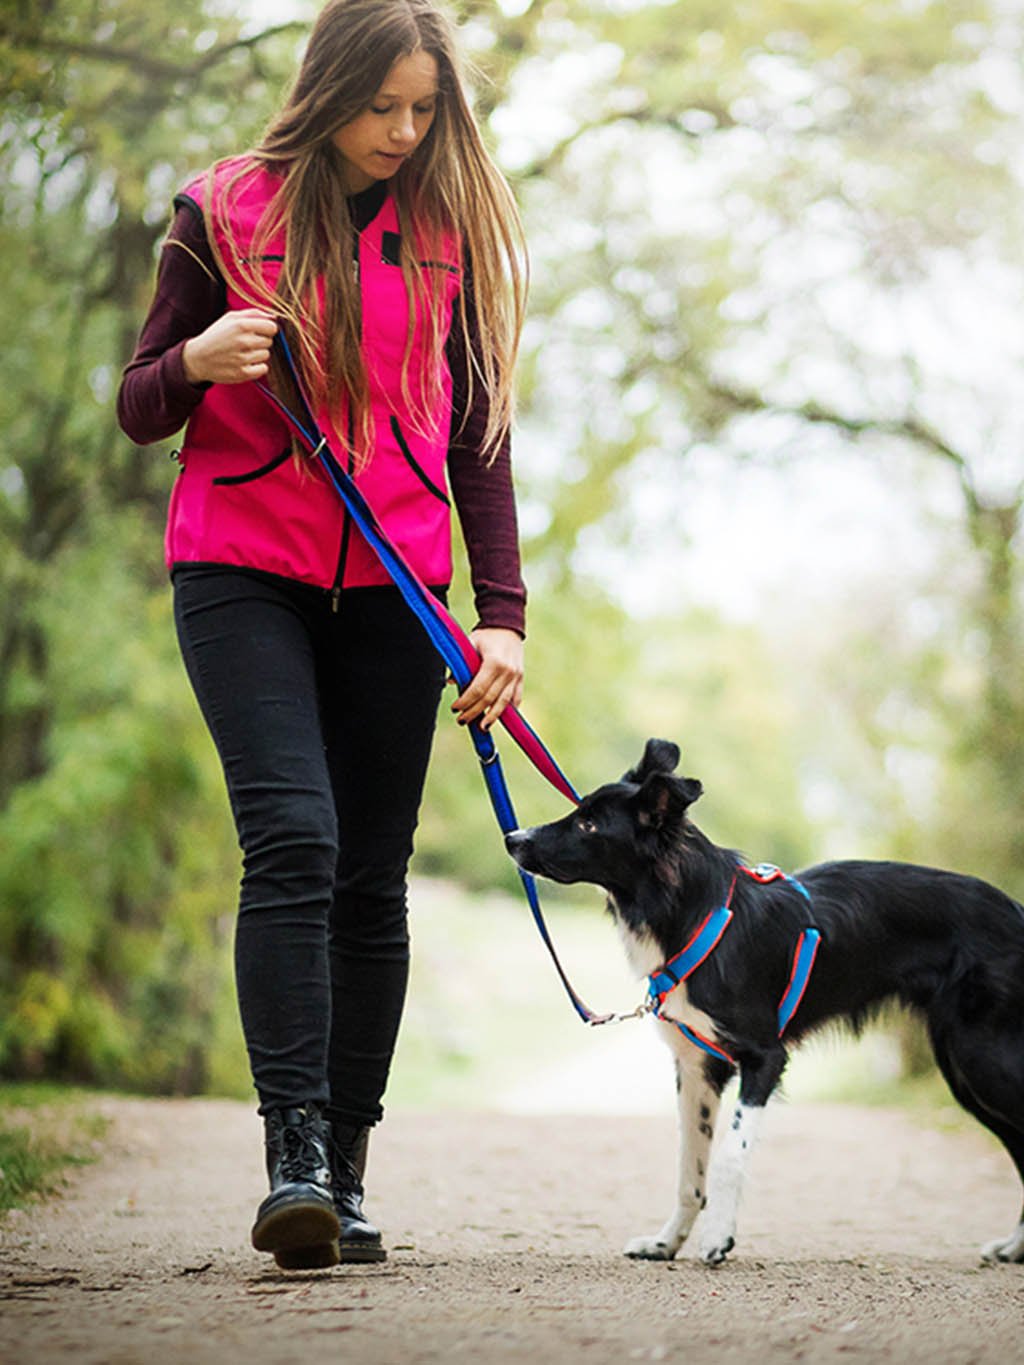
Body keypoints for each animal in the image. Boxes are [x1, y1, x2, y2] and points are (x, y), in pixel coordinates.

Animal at [505, 742, 1024, 1261]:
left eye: (589, 825)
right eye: (579, 813)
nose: (513, 838)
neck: (697, 913)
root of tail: (1016, 912)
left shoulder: (764, 1057)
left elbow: (728, 1158)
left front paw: (718, 1238)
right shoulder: (697, 1065)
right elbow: (689, 1171)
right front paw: (665, 1243)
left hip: (983, 1059)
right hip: (965, 1071)